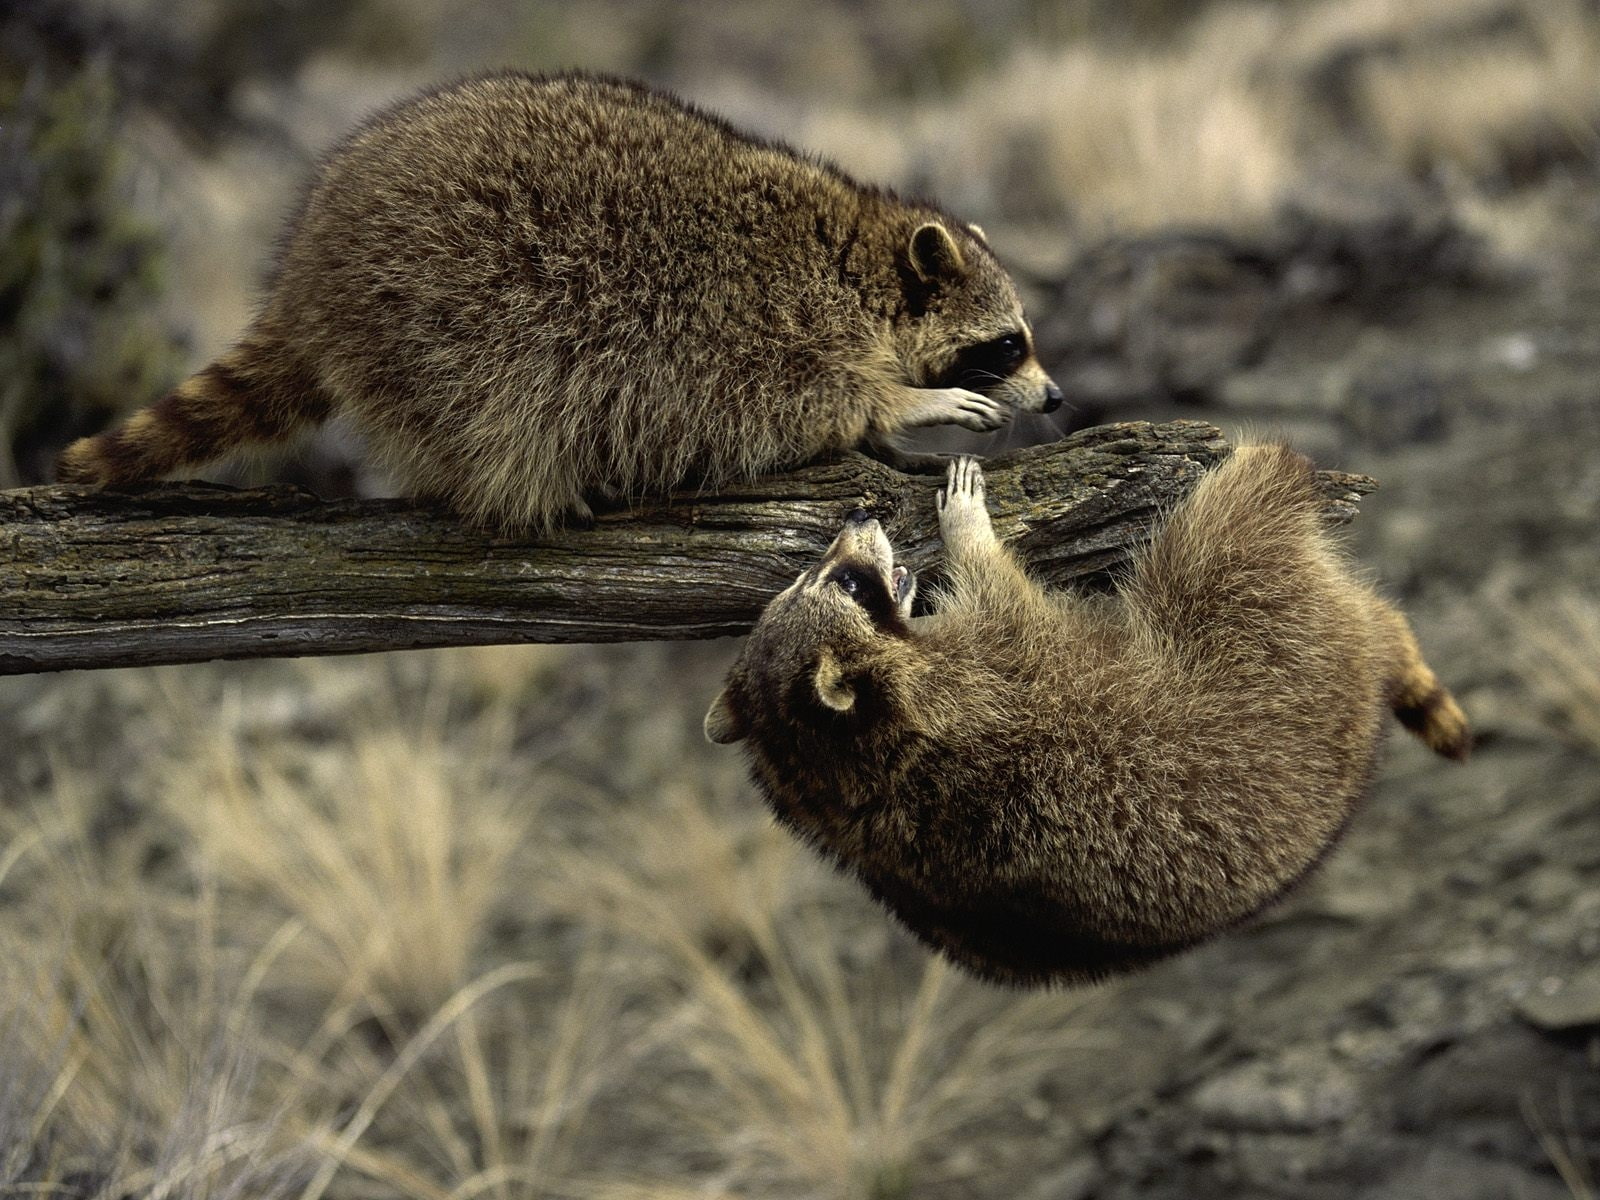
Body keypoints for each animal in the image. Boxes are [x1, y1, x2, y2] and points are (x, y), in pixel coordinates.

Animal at [55, 71, 1061, 530]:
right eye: (1009, 344)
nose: (1055, 397)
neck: (859, 259)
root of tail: (311, 266)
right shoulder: (758, 329)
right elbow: (800, 399)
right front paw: (905, 404)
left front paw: (891, 438)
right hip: (441, 310)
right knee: (492, 405)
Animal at [705, 448, 1470, 987]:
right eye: (848, 583)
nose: (859, 520)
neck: (829, 766)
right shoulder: (990, 670)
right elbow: (1002, 591)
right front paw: (968, 532)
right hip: (1276, 646)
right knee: (1219, 541)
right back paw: (1265, 469)